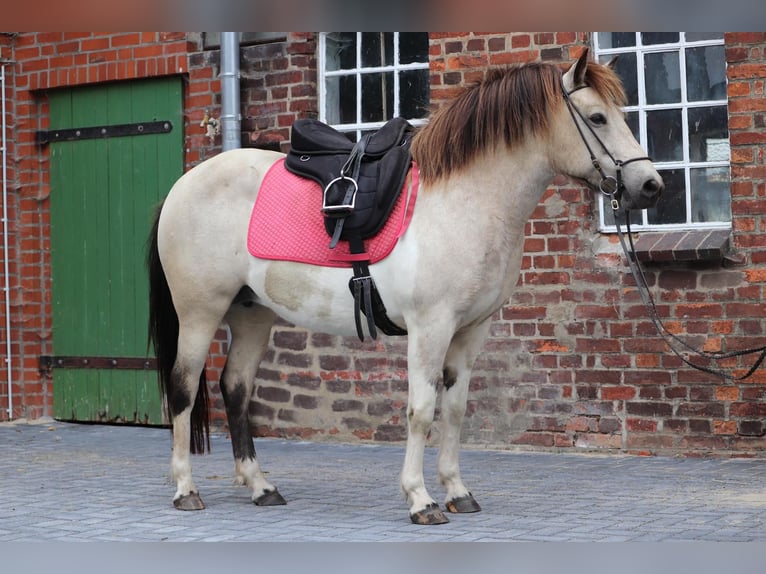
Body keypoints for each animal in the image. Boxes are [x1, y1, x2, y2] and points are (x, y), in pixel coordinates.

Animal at [147, 50, 664, 528]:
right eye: (597, 117)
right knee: (183, 387)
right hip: (200, 312)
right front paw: (421, 499)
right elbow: (421, 409)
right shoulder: (430, 327)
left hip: (252, 313)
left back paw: (260, 486)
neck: (465, 201)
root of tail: (183, 185)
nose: (650, 185)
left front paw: (457, 491)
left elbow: (454, 410)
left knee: (235, 388)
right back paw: (186, 489)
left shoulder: (471, 330)